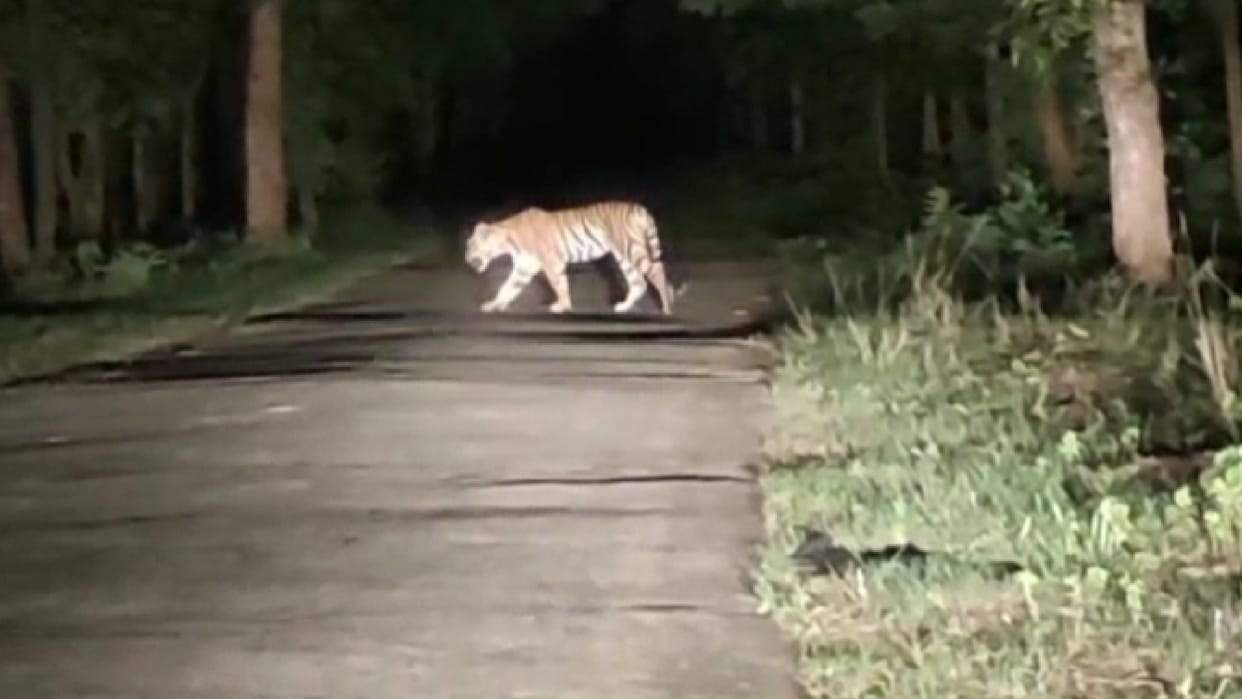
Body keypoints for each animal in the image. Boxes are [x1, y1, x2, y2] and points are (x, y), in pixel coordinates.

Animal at [464, 201, 677, 315]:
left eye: (471, 246)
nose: (466, 258)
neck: (508, 241)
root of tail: (638, 207)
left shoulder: (552, 262)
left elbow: (559, 284)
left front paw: (562, 306)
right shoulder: (524, 267)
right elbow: (507, 288)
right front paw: (494, 305)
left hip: (632, 249)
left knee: (657, 270)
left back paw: (666, 308)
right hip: (624, 256)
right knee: (639, 282)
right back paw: (624, 307)